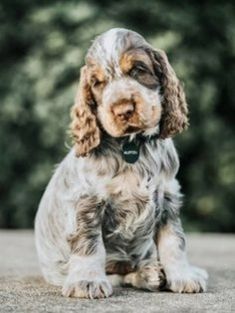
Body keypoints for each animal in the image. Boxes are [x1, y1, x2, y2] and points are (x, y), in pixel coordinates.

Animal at [34, 27, 207, 298]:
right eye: (97, 82)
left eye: (138, 69)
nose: (123, 110)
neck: (131, 146)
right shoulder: (87, 200)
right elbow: (90, 244)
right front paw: (87, 281)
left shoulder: (167, 196)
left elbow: (174, 240)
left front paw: (183, 276)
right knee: (118, 274)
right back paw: (148, 274)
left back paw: (153, 273)